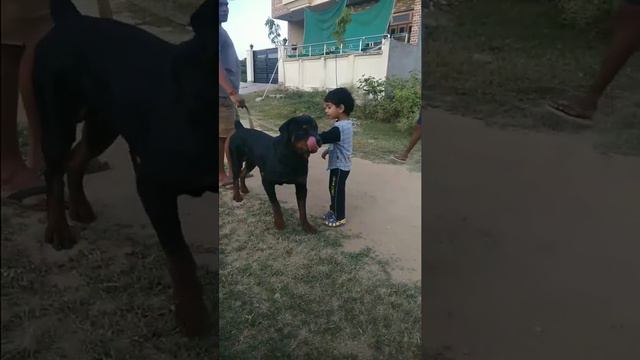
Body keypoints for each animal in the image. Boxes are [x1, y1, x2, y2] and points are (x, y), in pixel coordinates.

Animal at [32, 0, 216, 338]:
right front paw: (192, 316)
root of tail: (70, 19)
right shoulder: (152, 185)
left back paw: (80, 208)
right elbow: (180, 255)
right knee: (53, 171)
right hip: (57, 121)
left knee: (76, 160)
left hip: (104, 124)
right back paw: (59, 228)